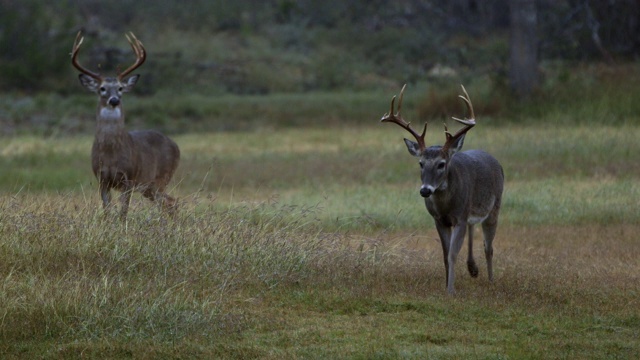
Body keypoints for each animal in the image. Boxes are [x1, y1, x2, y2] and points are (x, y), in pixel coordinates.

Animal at [70, 32, 180, 221]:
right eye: (102, 88)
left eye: (120, 88)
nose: (114, 100)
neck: (110, 154)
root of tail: (176, 146)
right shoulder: (102, 178)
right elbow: (107, 210)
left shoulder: (128, 177)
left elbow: (123, 212)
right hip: (149, 187)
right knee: (169, 203)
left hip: (161, 178)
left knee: (172, 203)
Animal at [380, 86, 504, 294]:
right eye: (420, 163)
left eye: (441, 164)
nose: (425, 190)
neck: (446, 206)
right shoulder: (439, 220)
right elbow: (445, 255)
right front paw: (447, 285)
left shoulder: (459, 217)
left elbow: (453, 254)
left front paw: (451, 291)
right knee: (473, 227)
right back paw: (473, 268)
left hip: (495, 207)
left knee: (489, 247)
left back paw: (491, 280)